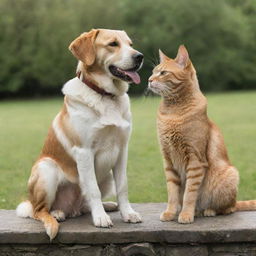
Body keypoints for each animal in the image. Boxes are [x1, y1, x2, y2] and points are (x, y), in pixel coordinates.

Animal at [16, 28, 144, 240]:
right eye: (113, 44)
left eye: (130, 44)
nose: (139, 56)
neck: (105, 96)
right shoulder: (84, 151)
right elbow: (93, 190)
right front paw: (100, 218)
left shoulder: (122, 150)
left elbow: (123, 186)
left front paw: (128, 213)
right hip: (46, 168)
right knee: (39, 211)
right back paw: (56, 214)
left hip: (107, 176)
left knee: (84, 205)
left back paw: (107, 206)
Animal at [148, 46, 256, 224]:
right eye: (153, 72)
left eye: (163, 73)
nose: (149, 80)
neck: (172, 112)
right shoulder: (168, 160)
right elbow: (172, 193)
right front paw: (171, 212)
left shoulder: (195, 160)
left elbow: (189, 194)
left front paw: (186, 214)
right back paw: (197, 212)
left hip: (230, 174)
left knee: (229, 208)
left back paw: (208, 211)